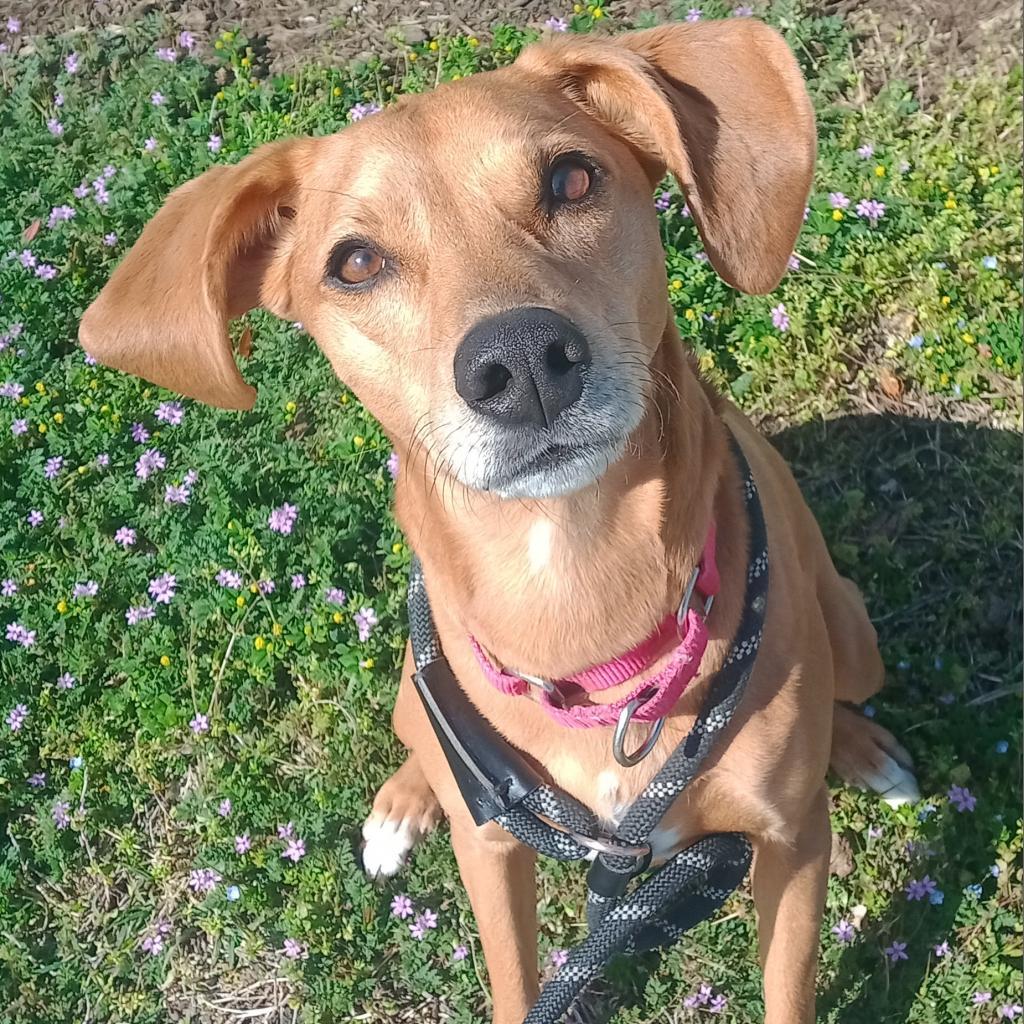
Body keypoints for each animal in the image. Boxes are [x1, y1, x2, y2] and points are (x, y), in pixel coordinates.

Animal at [77, 18, 921, 1024]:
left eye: (573, 179)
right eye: (355, 262)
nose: (519, 362)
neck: (577, 589)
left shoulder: (789, 853)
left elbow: (788, 986)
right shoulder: (494, 856)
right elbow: (517, 978)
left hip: (854, 628)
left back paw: (862, 748)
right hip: (421, 703)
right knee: (422, 739)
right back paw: (405, 802)